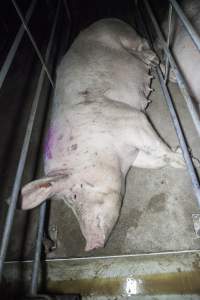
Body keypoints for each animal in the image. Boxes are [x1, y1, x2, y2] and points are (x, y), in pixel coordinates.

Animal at [20, 18, 184, 251]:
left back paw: (151, 58)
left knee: (142, 43)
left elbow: (157, 146)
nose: (91, 245)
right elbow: (154, 159)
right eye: (68, 202)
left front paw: (189, 161)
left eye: (74, 195)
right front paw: (181, 155)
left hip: (125, 35)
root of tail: (106, 20)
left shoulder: (128, 118)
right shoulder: (132, 153)